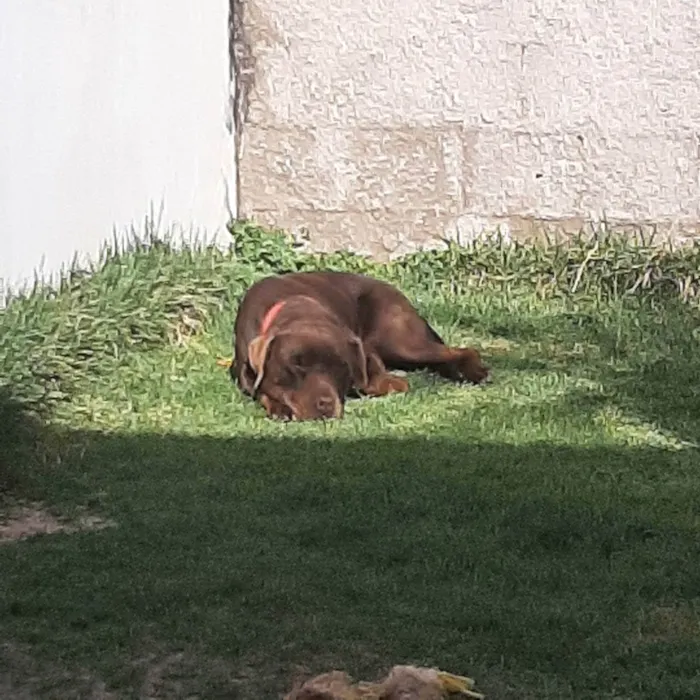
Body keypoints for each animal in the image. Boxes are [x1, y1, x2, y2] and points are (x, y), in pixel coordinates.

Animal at [230, 270, 486, 418]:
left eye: (340, 367)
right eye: (296, 366)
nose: (325, 404)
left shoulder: (362, 351)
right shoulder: (245, 373)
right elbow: (260, 390)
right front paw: (278, 406)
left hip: (400, 341)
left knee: (458, 351)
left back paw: (473, 371)